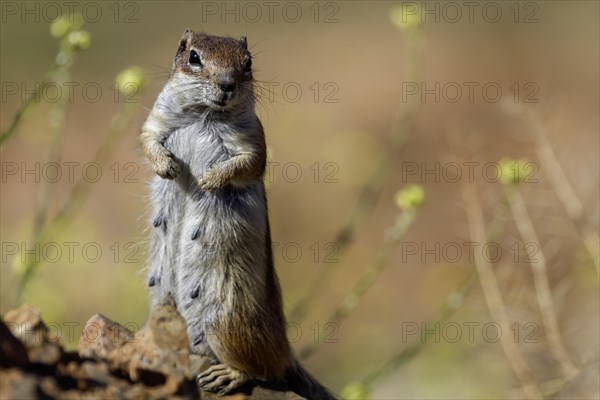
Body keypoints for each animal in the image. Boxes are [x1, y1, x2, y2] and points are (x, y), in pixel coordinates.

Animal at [142, 29, 338, 398]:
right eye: (193, 57)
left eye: (247, 63)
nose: (227, 84)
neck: (205, 114)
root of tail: (286, 351)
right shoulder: (157, 118)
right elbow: (148, 141)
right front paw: (168, 167)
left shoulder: (253, 138)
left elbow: (248, 163)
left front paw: (210, 179)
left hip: (225, 323)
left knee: (261, 370)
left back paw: (226, 375)